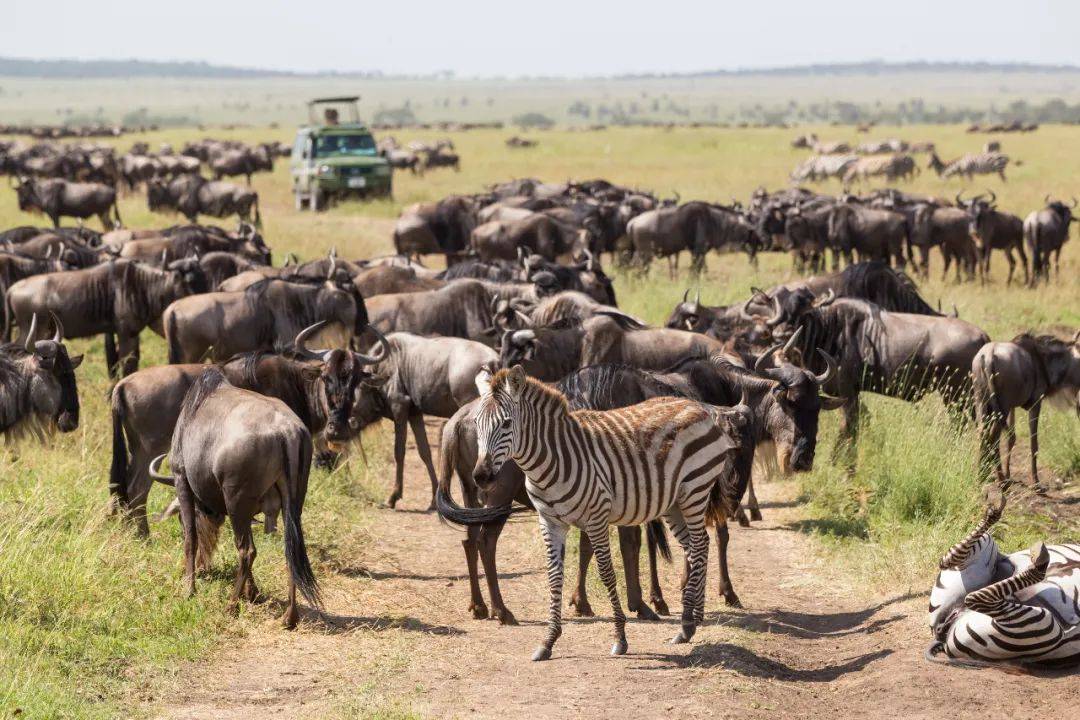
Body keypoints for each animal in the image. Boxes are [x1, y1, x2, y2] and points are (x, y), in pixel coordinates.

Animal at [438, 369, 751, 660]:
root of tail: (693, 405)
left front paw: (620, 637)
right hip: (675, 503)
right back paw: (692, 621)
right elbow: (555, 575)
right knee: (698, 547)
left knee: (698, 545)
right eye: (478, 424)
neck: (550, 460)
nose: (483, 476)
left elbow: (606, 571)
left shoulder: (597, 516)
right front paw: (548, 641)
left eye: (506, 423)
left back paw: (687, 623)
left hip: (694, 492)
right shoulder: (550, 521)